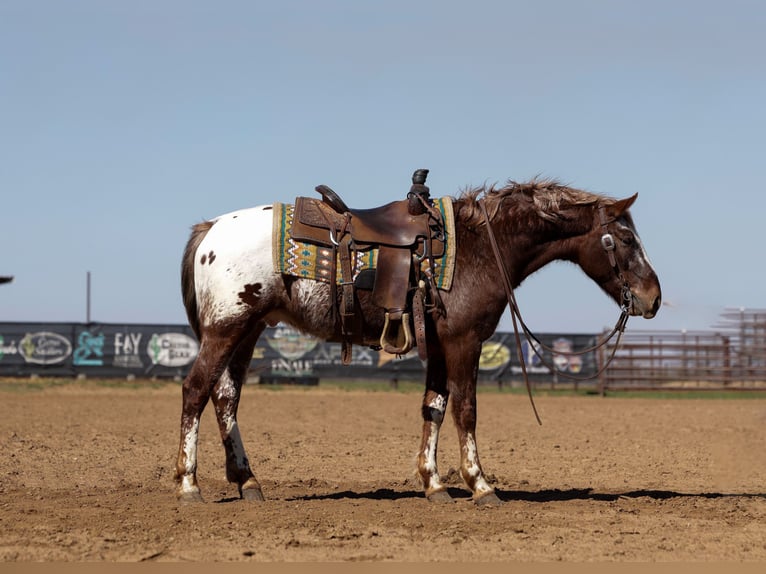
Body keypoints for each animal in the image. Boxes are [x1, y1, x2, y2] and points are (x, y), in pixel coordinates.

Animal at [174, 177, 661, 505]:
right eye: (626, 238)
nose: (653, 297)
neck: (480, 248)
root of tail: (210, 228)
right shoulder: (466, 342)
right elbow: (466, 409)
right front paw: (480, 485)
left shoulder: (443, 346)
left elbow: (434, 408)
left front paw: (434, 483)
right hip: (226, 328)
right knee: (196, 390)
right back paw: (188, 484)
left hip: (248, 330)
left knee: (226, 396)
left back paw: (248, 482)